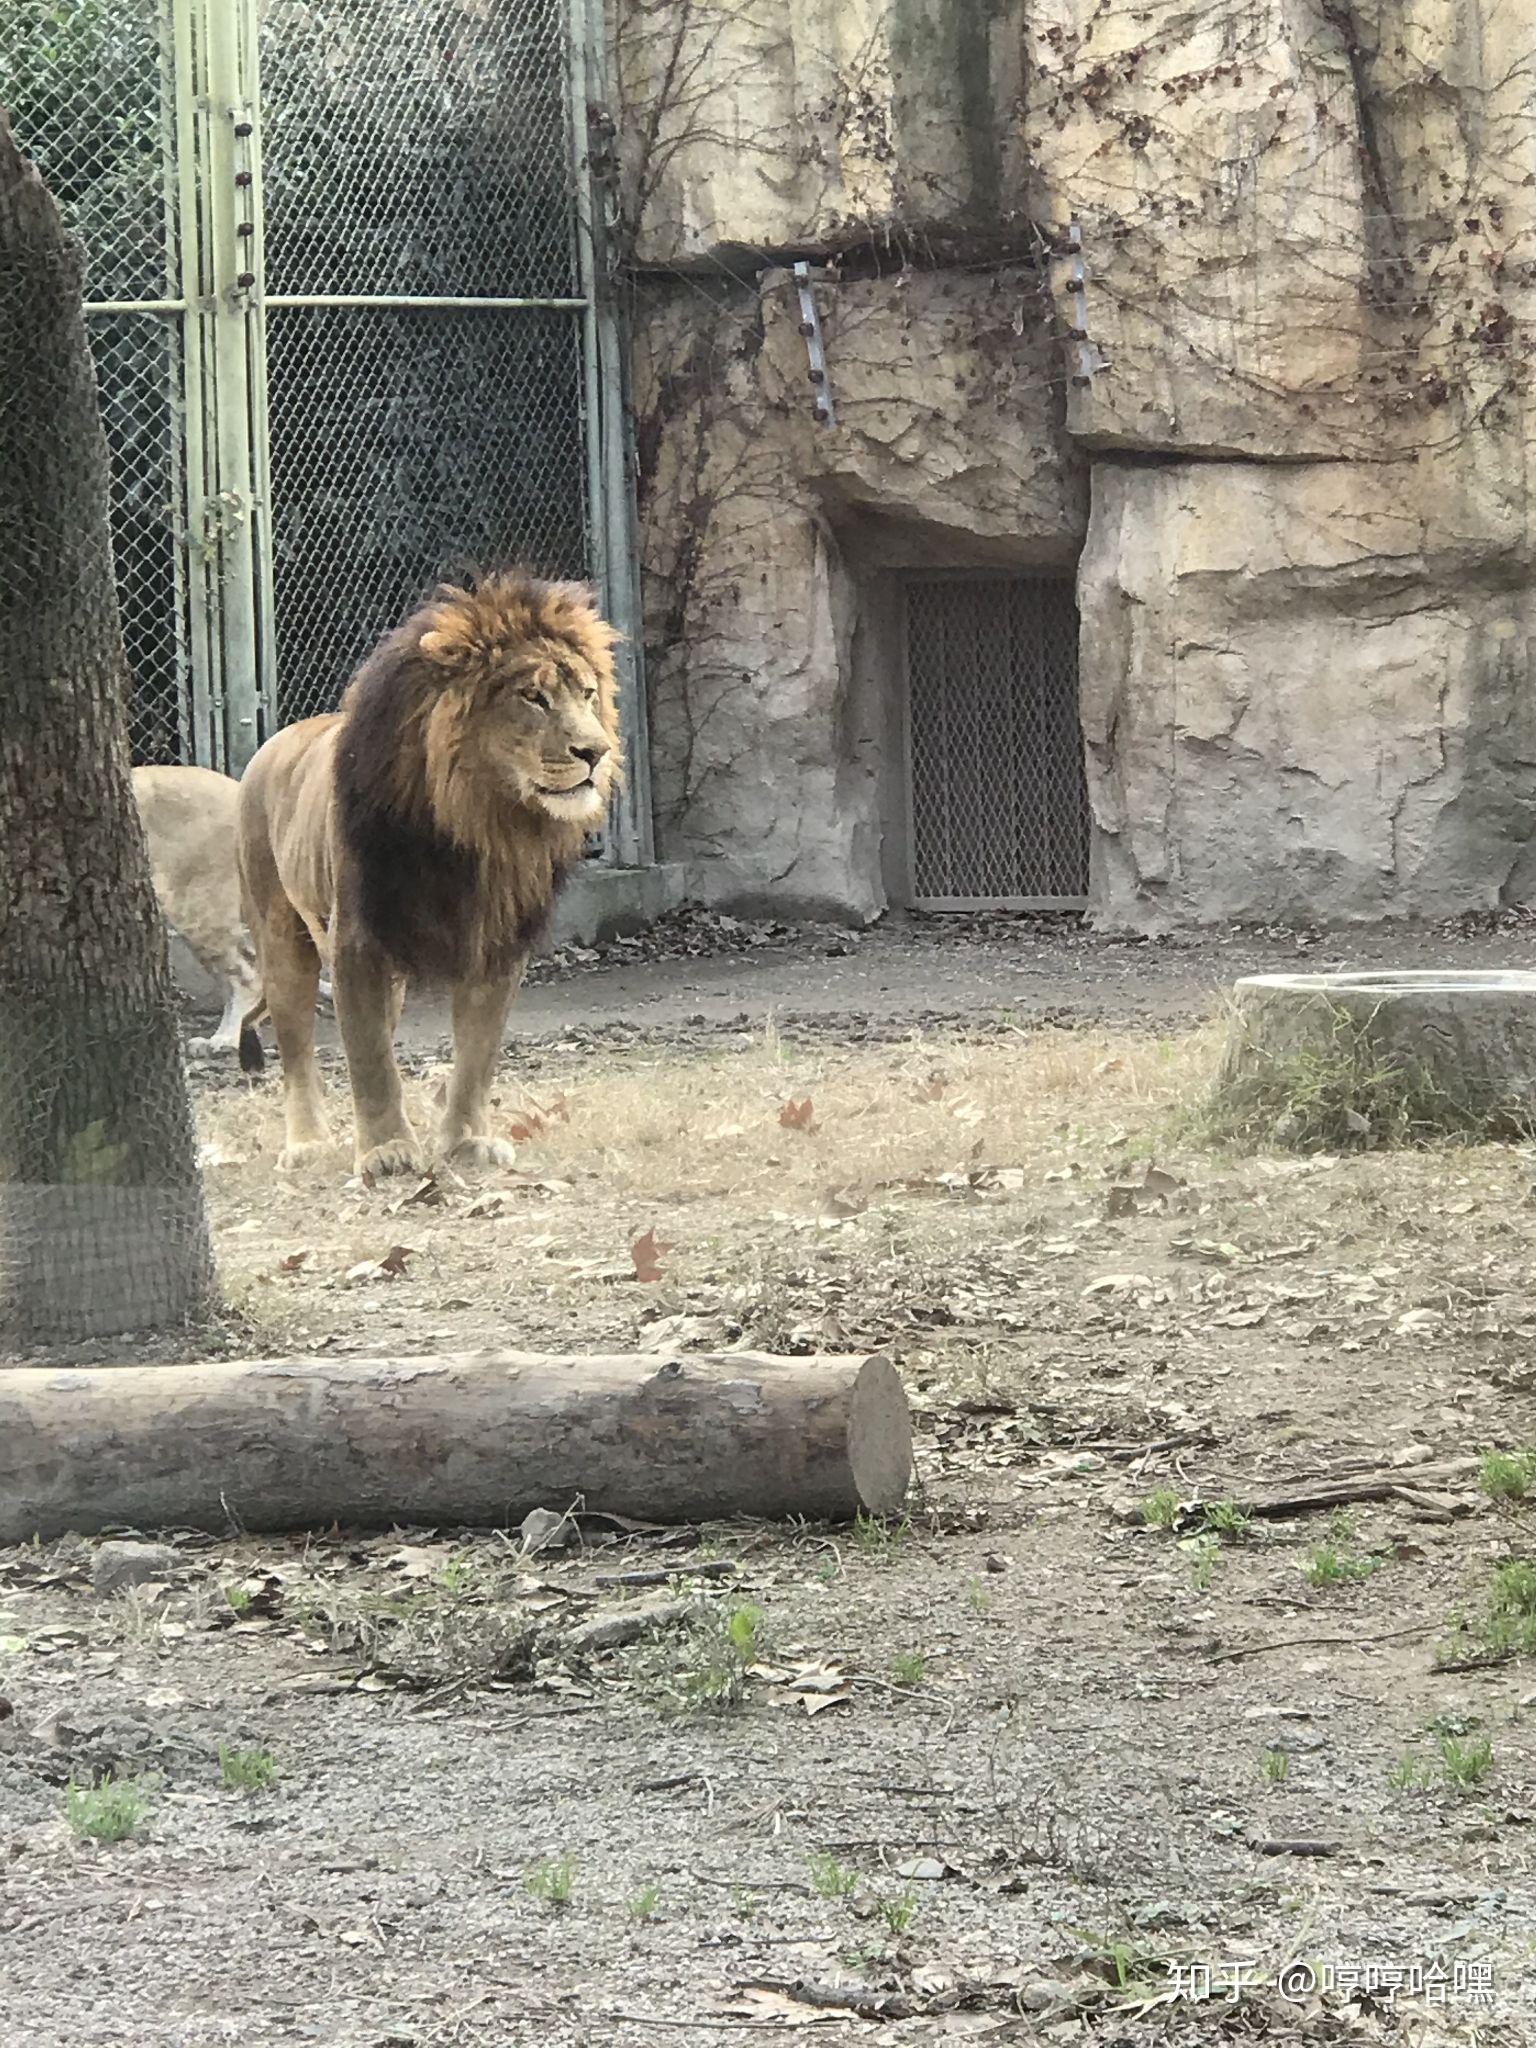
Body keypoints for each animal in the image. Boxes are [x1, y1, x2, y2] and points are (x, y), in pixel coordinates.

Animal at [237, 569, 622, 1179]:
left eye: (587, 694)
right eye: (533, 697)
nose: (597, 751)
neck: (478, 825)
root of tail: (272, 742)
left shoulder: (497, 944)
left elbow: (477, 1055)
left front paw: (466, 1141)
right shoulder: (357, 939)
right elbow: (369, 1057)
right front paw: (386, 1151)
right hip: (280, 933)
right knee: (295, 1043)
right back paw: (308, 1143)